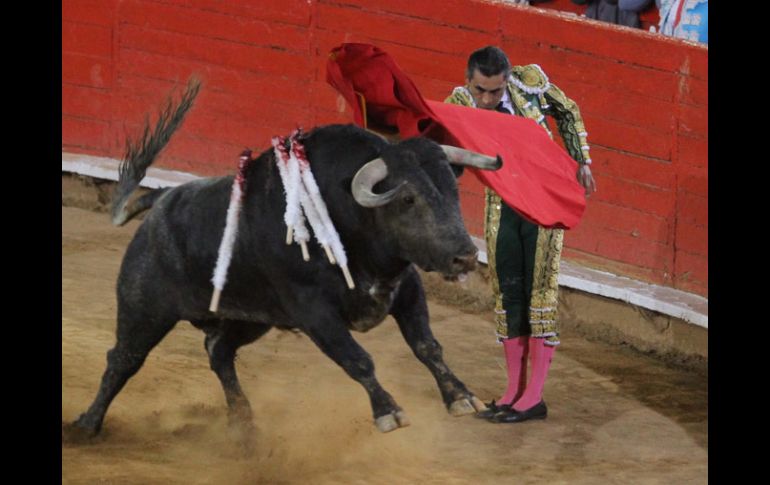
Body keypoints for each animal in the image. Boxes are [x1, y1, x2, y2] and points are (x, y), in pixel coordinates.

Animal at [67, 78, 498, 438]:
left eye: (452, 189)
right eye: (408, 199)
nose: (464, 257)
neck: (346, 219)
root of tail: (160, 200)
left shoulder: (406, 289)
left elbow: (427, 345)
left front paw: (461, 396)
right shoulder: (315, 312)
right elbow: (358, 359)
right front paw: (388, 412)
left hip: (250, 316)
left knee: (218, 351)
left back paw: (243, 424)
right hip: (144, 308)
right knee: (124, 359)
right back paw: (87, 426)